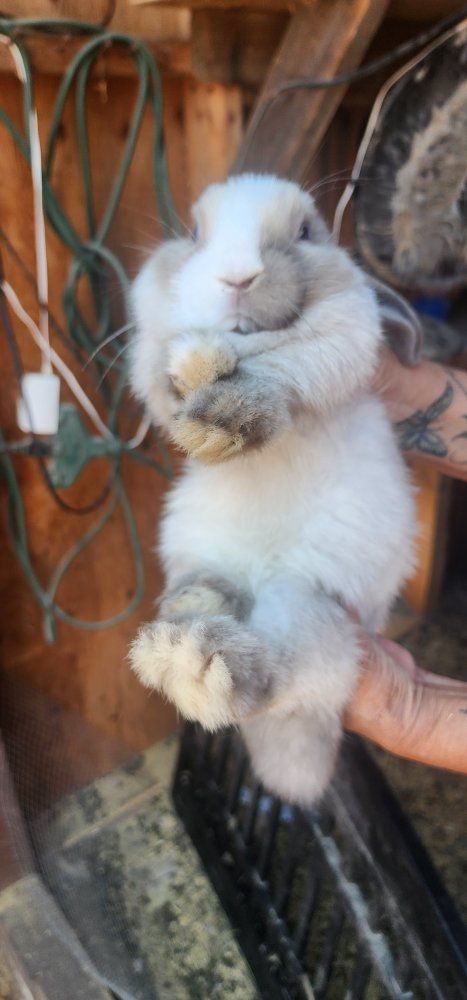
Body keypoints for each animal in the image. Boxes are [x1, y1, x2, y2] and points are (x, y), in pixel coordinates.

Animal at [128, 173, 418, 805]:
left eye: (306, 231)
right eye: (193, 232)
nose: (238, 277)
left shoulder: (340, 339)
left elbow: (286, 368)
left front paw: (225, 413)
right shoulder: (147, 349)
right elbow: (158, 377)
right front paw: (189, 372)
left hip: (308, 607)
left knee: (273, 674)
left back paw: (193, 664)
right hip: (207, 557)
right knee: (212, 590)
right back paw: (185, 613)